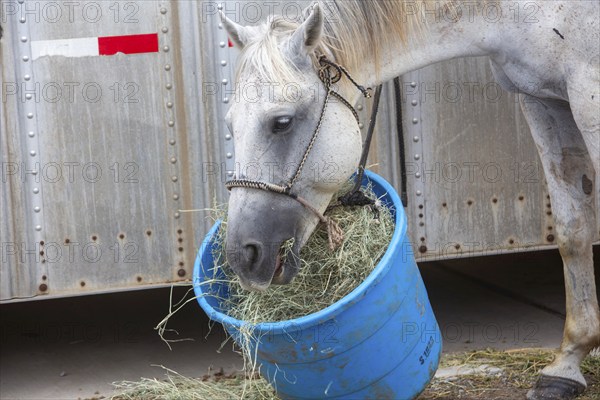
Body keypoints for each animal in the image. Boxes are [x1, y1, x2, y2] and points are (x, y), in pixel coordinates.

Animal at [221, 1, 600, 398]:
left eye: (281, 122)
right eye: (230, 125)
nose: (243, 256)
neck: (516, 14)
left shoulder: (588, 95)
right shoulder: (543, 100)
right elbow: (573, 230)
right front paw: (566, 365)